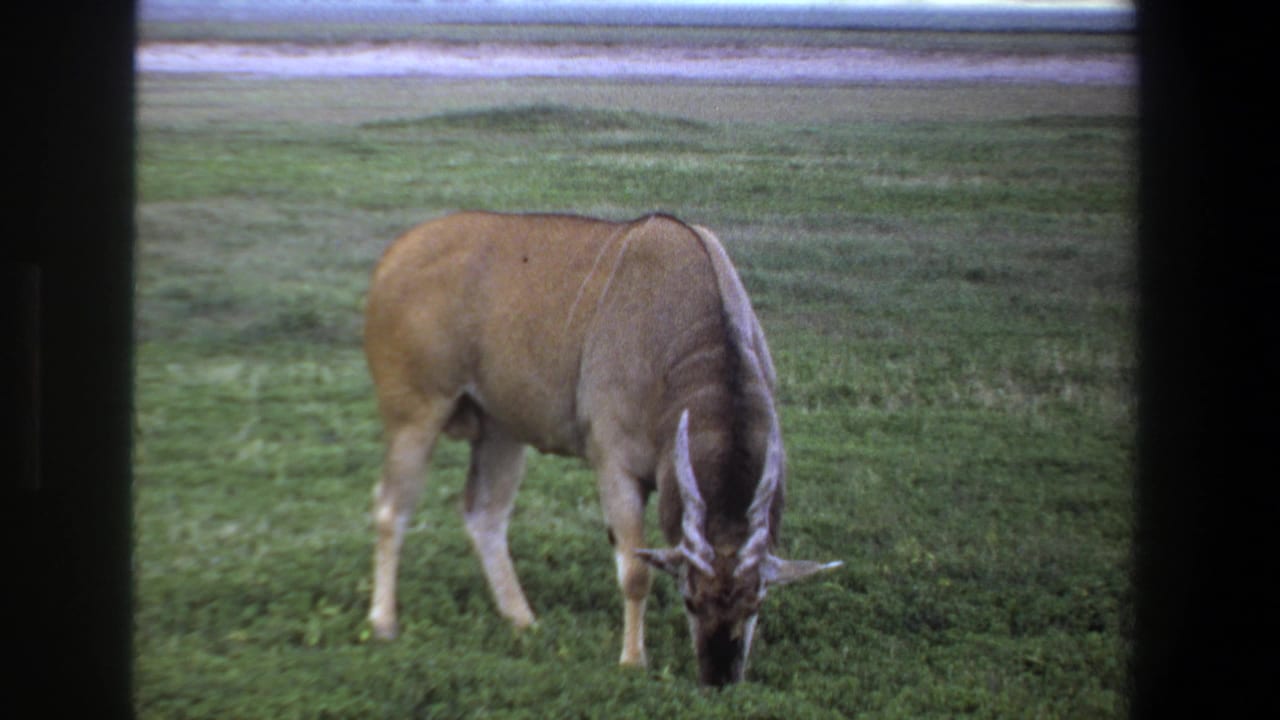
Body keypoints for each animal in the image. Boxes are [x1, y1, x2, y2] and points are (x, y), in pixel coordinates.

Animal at [363, 211, 840, 686]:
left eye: (755, 603)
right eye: (690, 599)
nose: (719, 679)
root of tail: (393, 257)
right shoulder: (615, 466)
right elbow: (635, 571)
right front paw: (632, 660)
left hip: (501, 430)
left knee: (484, 516)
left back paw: (523, 619)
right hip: (416, 414)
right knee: (390, 508)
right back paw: (384, 622)